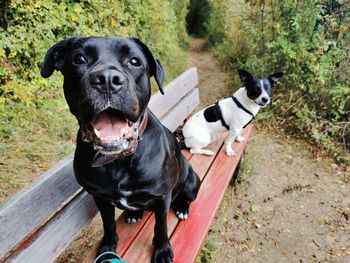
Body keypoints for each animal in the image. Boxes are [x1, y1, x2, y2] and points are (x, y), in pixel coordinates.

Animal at [41, 36, 200, 262]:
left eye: (134, 61)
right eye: (79, 59)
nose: (107, 79)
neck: (119, 160)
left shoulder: (162, 197)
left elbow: (161, 226)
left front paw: (162, 250)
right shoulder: (100, 198)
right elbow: (108, 224)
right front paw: (108, 246)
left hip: (190, 181)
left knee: (185, 196)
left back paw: (182, 208)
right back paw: (134, 213)